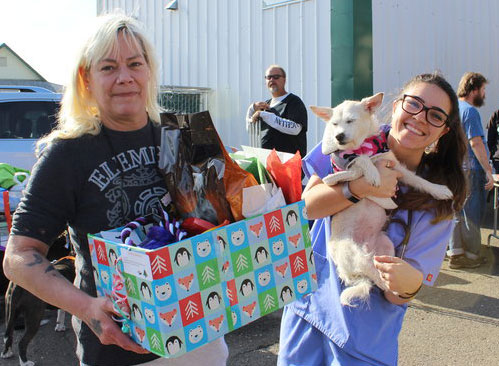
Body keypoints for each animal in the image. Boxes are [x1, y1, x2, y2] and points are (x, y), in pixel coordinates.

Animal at [308, 93, 454, 306]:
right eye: (334, 124)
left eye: (350, 121)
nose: (338, 137)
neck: (367, 145)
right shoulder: (343, 168)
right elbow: (360, 159)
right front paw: (373, 174)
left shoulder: (398, 169)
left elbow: (419, 180)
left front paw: (439, 190)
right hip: (355, 255)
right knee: (376, 278)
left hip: (386, 246)